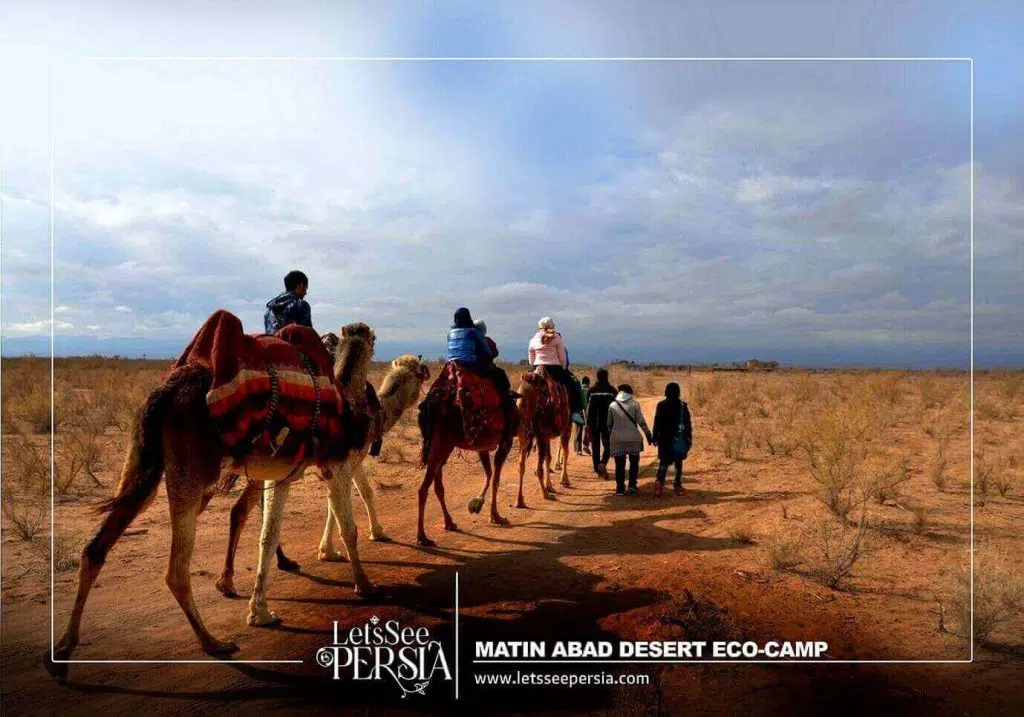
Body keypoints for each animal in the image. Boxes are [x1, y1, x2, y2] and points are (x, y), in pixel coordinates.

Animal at [413, 366, 516, 544]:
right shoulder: (506, 442)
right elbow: (496, 479)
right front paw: (495, 516)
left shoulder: (482, 447)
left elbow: (489, 474)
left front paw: (477, 504)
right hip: (442, 444)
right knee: (423, 488)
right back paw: (422, 536)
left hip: (440, 446)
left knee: (438, 486)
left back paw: (449, 523)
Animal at [516, 368, 573, 510]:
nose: (520, 406)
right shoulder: (558, 430)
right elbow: (563, 453)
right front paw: (563, 481)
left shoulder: (543, 435)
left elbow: (547, 458)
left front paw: (550, 486)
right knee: (540, 465)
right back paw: (548, 492)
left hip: (529, 433)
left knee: (523, 463)